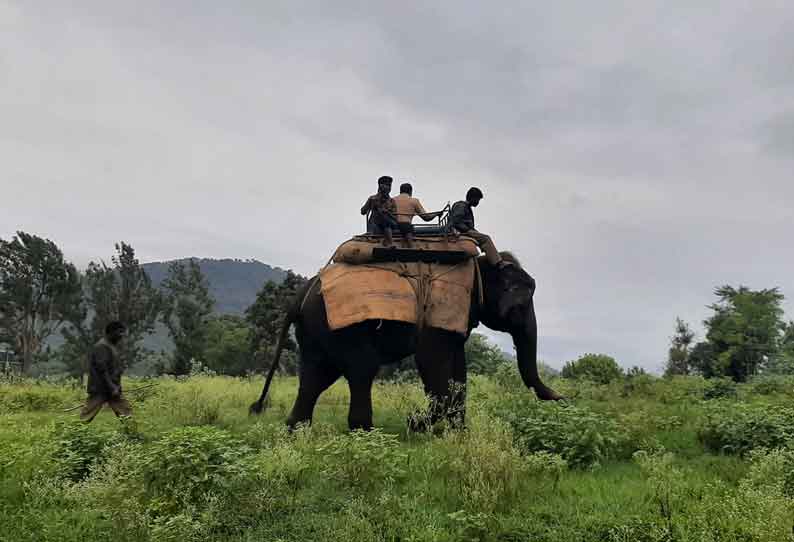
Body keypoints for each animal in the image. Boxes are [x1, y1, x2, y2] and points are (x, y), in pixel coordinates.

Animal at [251, 253, 560, 432]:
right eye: (521, 303)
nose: (564, 400)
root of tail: (298, 296)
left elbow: (458, 370)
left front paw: (458, 434)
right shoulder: (437, 310)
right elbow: (431, 360)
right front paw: (417, 423)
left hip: (316, 331)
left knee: (316, 376)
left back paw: (296, 431)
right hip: (338, 327)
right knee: (361, 369)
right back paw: (363, 433)